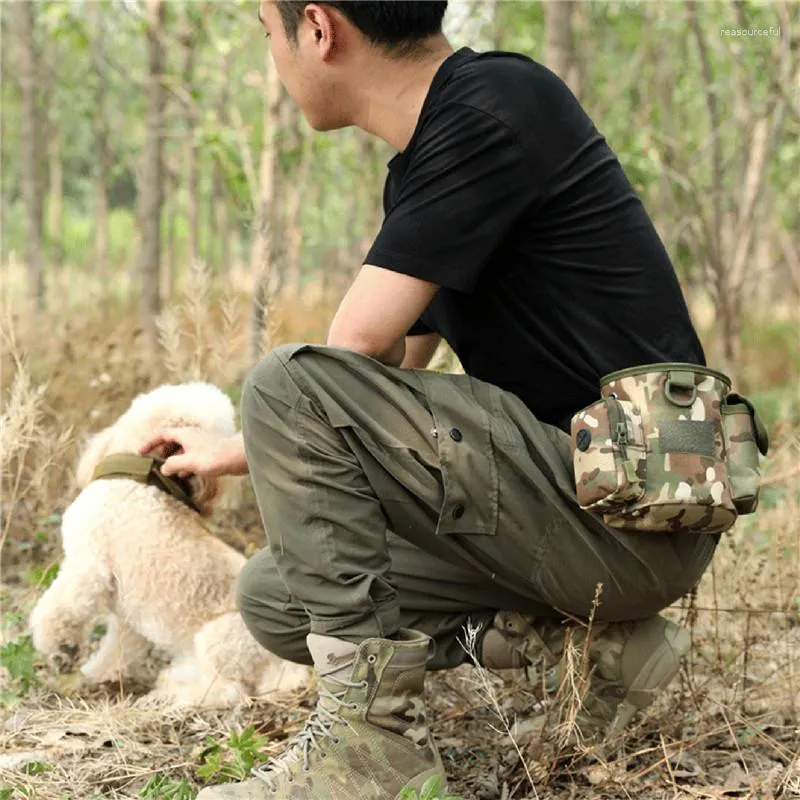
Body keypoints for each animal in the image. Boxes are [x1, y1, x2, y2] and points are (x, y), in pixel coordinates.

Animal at [28, 382, 310, 708]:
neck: (142, 479)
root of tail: (293, 669)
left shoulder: (88, 568)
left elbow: (58, 610)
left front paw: (60, 649)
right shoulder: (126, 616)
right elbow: (117, 650)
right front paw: (97, 675)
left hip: (218, 640)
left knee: (228, 690)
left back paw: (174, 694)